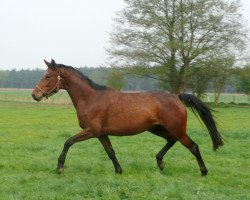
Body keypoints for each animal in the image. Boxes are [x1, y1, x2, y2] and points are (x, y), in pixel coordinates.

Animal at [31, 58, 225, 176]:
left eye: (47, 76)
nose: (34, 95)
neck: (90, 97)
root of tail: (176, 97)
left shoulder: (91, 131)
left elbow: (68, 142)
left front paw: (60, 167)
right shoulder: (101, 133)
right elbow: (110, 152)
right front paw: (118, 170)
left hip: (176, 129)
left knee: (193, 147)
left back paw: (203, 171)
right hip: (157, 128)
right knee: (172, 141)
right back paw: (160, 162)